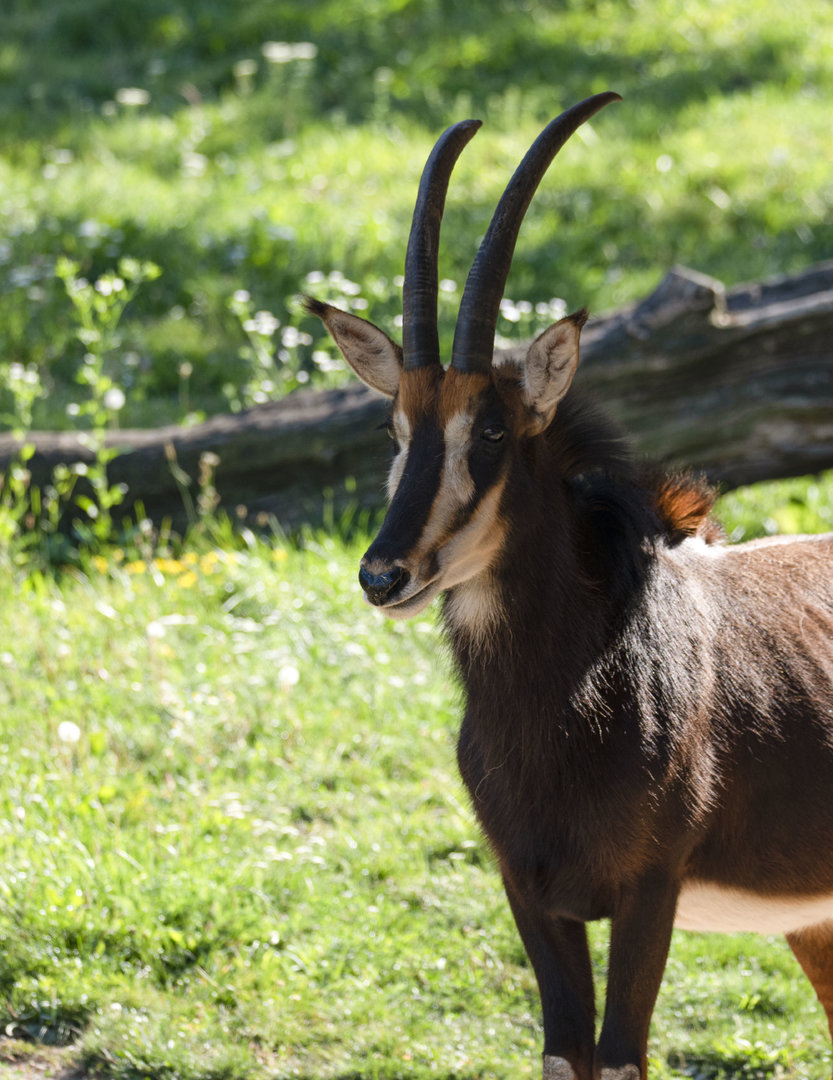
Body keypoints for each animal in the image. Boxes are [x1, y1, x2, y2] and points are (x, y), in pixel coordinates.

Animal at [306, 93, 833, 1079]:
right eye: (396, 428)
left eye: (492, 431)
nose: (382, 573)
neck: (566, 692)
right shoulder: (530, 892)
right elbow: (564, 1053)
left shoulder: (646, 891)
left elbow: (620, 1055)